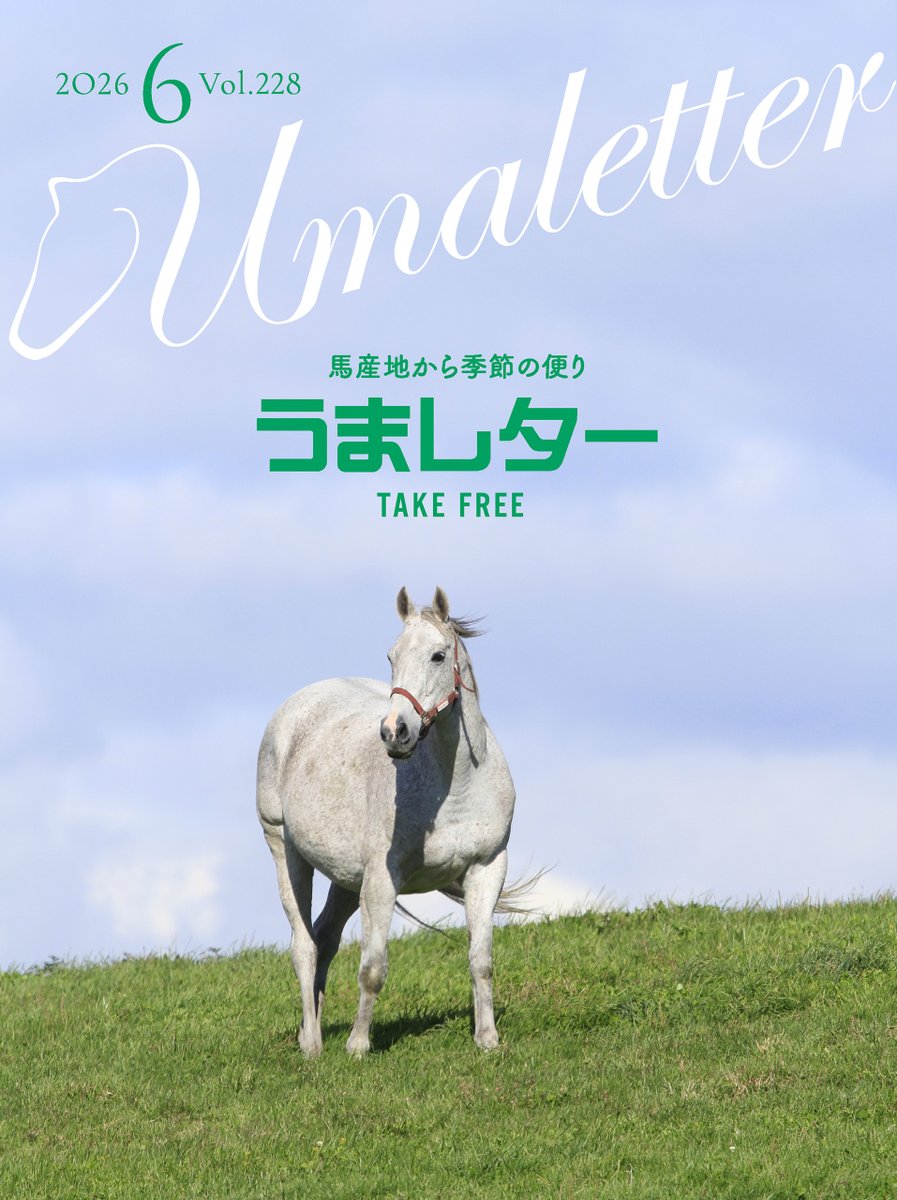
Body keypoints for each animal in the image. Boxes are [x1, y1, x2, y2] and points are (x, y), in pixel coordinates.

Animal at [256, 586, 518, 1057]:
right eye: (392, 656)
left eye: (437, 656)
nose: (396, 731)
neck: (455, 787)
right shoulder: (382, 879)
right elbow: (373, 968)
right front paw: (359, 1045)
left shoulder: (487, 868)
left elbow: (481, 959)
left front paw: (487, 1038)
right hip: (285, 851)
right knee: (304, 946)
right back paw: (312, 1045)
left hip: (345, 879)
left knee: (324, 938)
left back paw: (310, 1030)